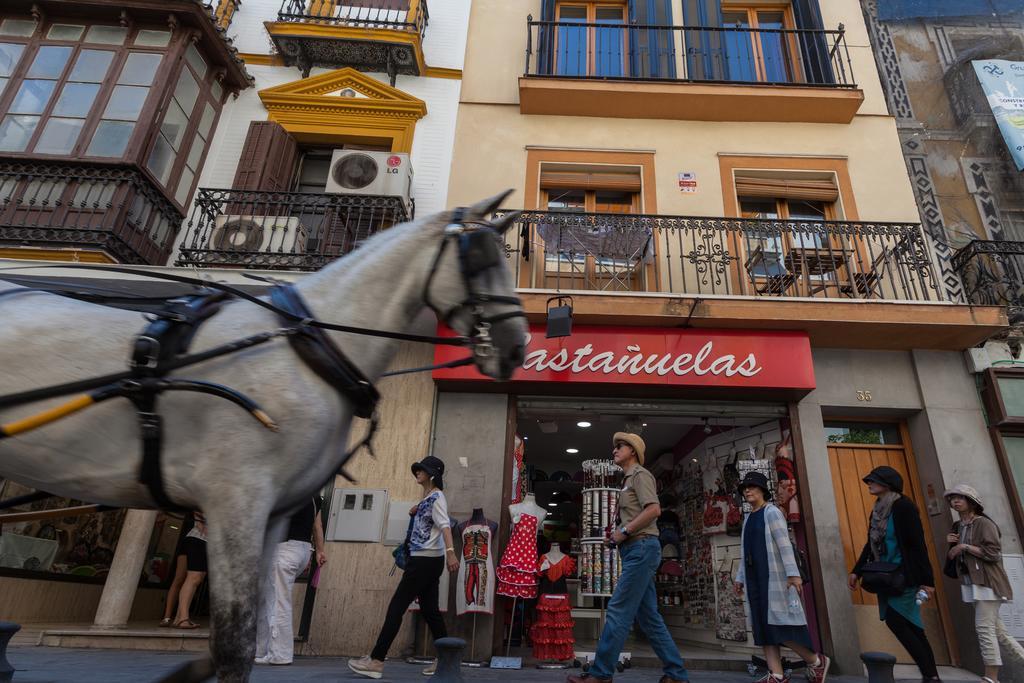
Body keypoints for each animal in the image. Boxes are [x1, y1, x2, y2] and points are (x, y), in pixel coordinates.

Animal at [0, 191, 528, 679]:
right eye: (479, 257)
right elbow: (233, 643)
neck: (312, 344)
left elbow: (240, 637)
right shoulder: (237, 499)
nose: (516, 346)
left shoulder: (269, 511)